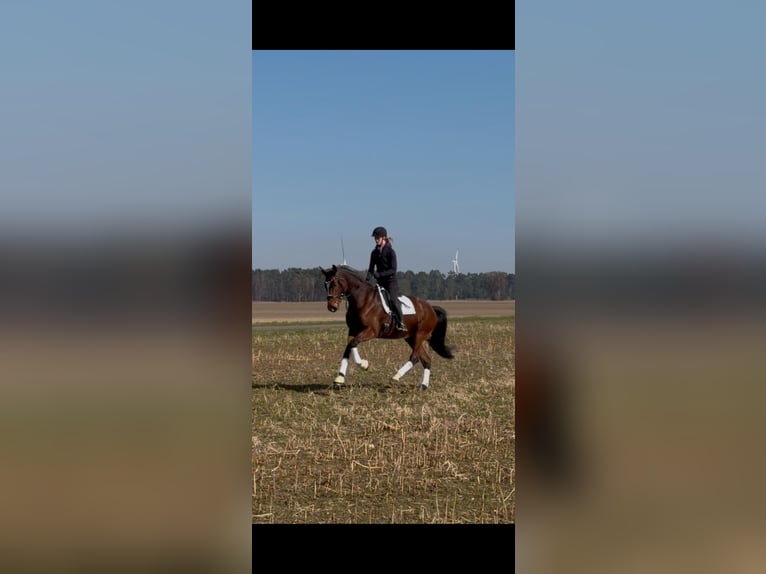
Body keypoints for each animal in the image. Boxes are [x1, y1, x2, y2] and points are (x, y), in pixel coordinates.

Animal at [319, 264, 454, 390]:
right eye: (325, 285)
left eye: (334, 284)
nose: (331, 307)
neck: (363, 300)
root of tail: (431, 308)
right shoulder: (353, 330)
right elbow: (349, 347)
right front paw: (340, 378)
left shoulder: (371, 331)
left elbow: (353, 343)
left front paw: (364, 364)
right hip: (411, 338)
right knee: (426, 359)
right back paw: (423, 386)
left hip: (420, 335)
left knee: (415, 357)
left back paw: (396, 376)